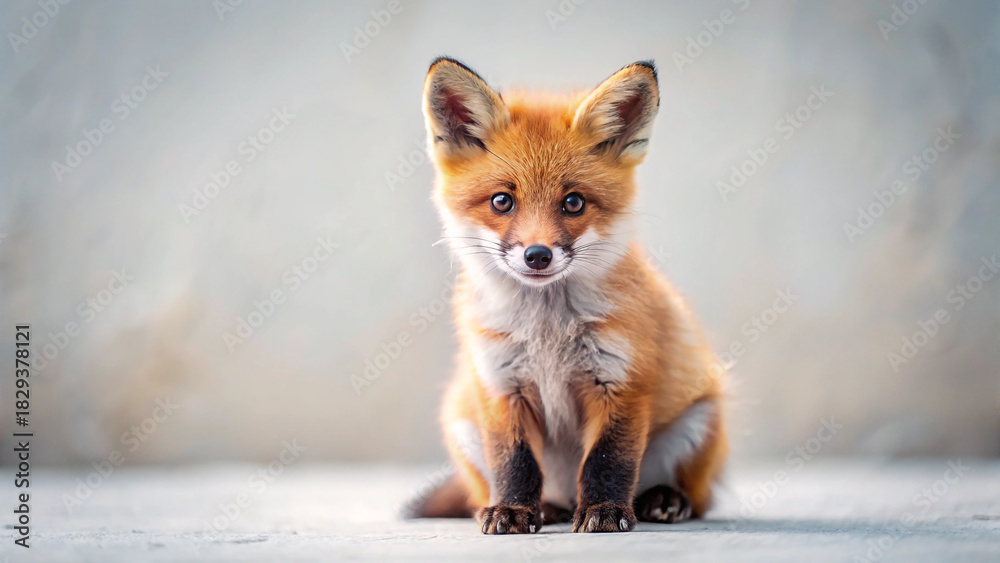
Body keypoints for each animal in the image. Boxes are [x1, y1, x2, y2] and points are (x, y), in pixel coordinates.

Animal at [407, 57, 727, 534]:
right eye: (502, 201)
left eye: (573, 203)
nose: (537, 255)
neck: (547, 333)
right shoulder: (501, 385)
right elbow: (514, 462)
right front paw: (513, 510)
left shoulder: (622, 380)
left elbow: (608, 459)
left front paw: (605, 510)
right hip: (462, 423)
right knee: (496, 491)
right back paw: (544, 507)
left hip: (699, 419)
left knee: (699, 498)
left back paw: (662, 499)